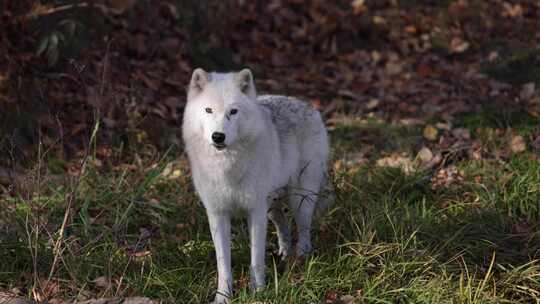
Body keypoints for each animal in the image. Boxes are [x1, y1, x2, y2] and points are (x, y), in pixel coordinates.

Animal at [184, 67, 332, 302]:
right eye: (208, 110)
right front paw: (223, 297)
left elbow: (256, 259)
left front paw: (259, 292)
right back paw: (284, 253)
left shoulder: (255, 211)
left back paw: (300, 258)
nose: (218, 136)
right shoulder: (217, 214)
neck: (227, 166)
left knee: (304, 229)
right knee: (283, 223)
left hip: (299, 198)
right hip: (270, 207)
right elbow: (223, 264)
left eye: (233, 112)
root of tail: (308, 105)